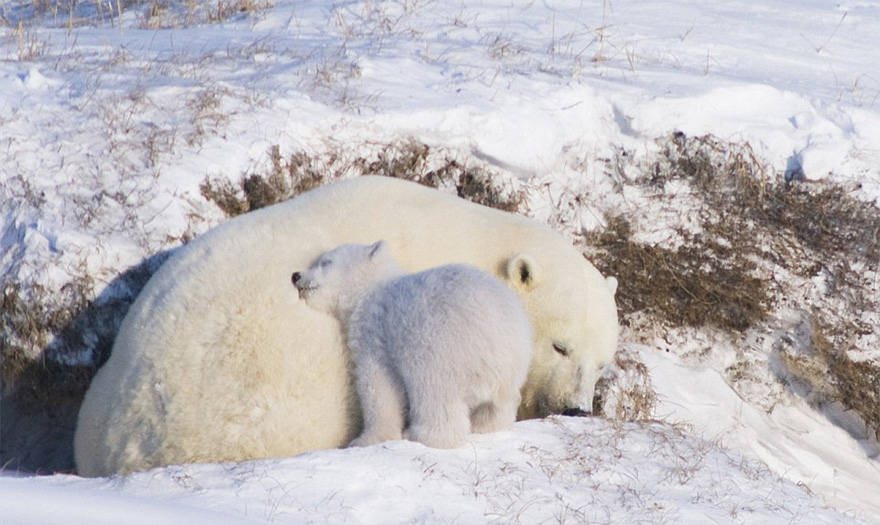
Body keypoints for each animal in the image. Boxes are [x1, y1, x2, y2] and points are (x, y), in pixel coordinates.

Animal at [293, 241, 533, 449]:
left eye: (326, 261)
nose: (297, 276)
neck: (371, 291)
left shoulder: (376, 334)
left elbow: (379, 387)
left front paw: (365, 439)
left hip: (440, 348)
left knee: (434, 393)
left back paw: (418, 434)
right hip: (511, 372)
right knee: (498, 407)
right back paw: (485, 427)